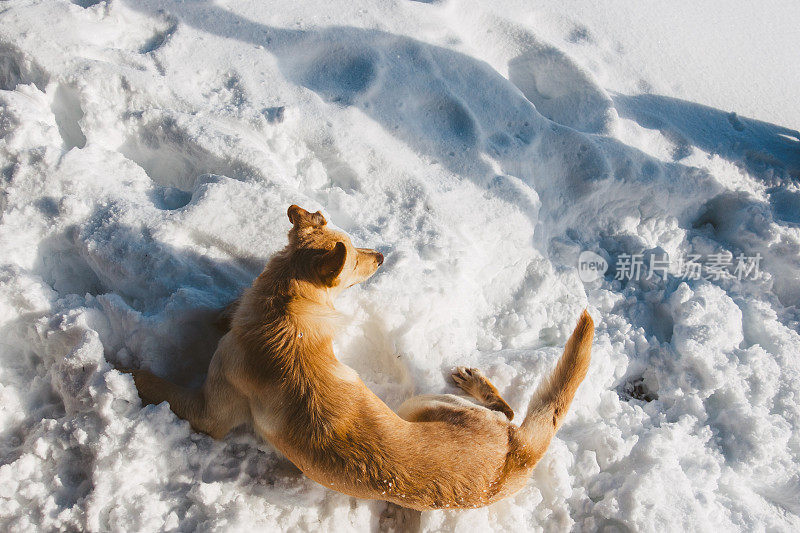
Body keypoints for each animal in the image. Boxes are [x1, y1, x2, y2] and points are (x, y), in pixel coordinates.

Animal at [133, 205, 592, 512]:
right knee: (511, 411)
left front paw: (124, 370)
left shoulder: (211, 414)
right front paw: (226, 312)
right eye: (355, 258)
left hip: (421, 405)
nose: (384, 256)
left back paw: (475, 383)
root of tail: (520, 457)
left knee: (507, 410)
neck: (286, 313)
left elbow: (154, 384)